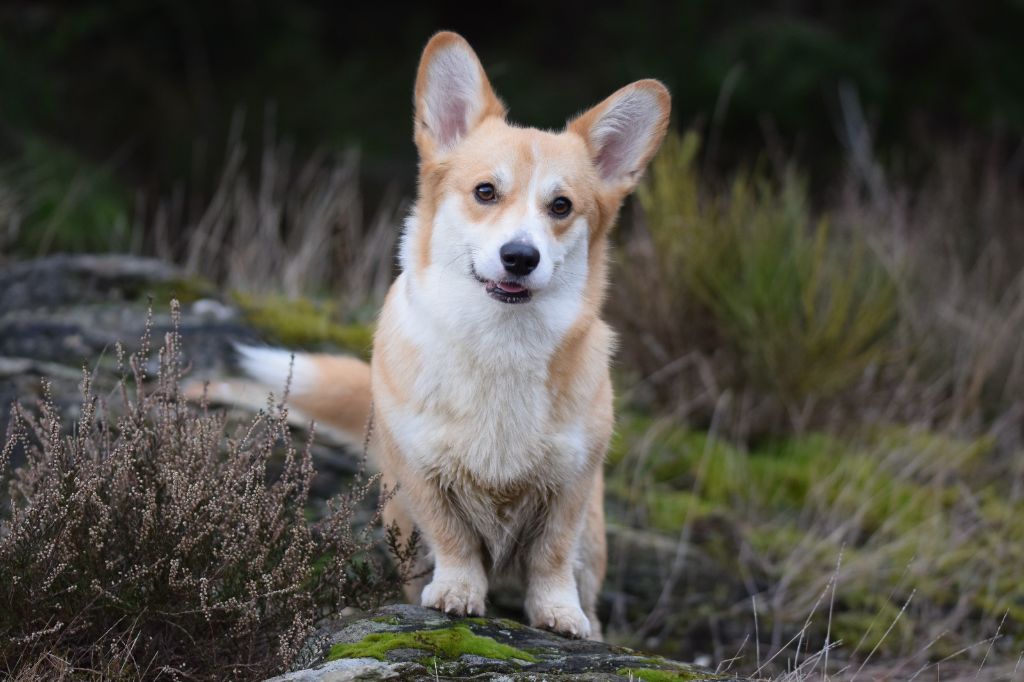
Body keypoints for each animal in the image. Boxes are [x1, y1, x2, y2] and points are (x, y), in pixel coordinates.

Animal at [205, 31, 670, 640]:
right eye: (486, 192)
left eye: (561, 206)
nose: (520, 257)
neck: (501, 344)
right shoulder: (424, 476)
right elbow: (455, 541)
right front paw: (456, 593)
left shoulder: (570, 485)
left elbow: (551, 556)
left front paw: (559, 616)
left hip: (594, 539)